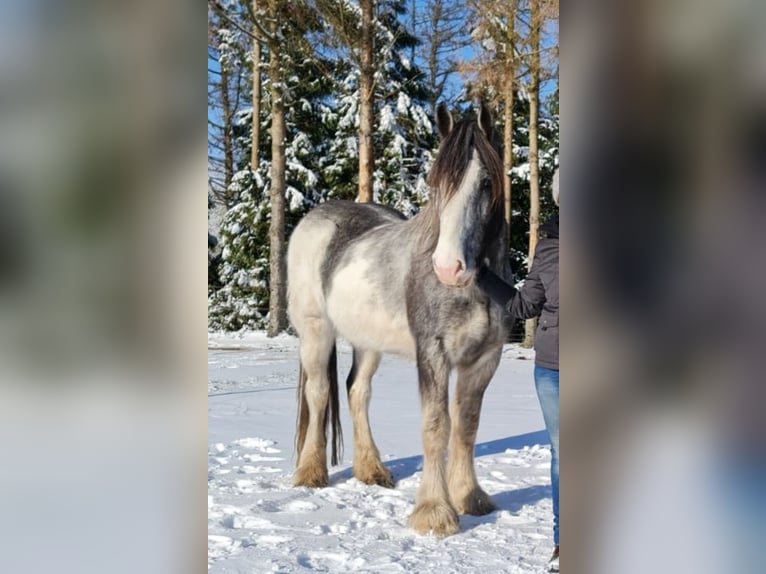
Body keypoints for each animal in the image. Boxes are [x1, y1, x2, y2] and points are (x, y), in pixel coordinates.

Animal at [288, 103, 510, 540]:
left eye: (486, 182)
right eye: (436, 183)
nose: (449, 267)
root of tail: (315, 218)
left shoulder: (484, 360)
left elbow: (467, 425)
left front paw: (471, 498)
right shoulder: (433, 355)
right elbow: (436, 426)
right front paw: (434, 512)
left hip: (368, 342)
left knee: (357, 391)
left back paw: (372, 470)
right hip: (315, 333)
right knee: (319, 394)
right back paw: (310, 473)